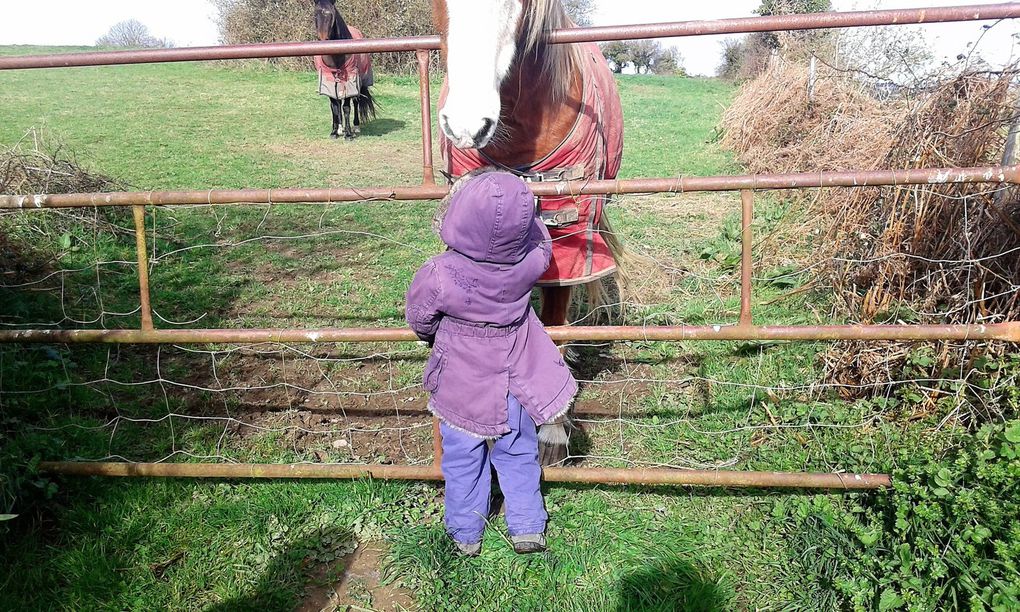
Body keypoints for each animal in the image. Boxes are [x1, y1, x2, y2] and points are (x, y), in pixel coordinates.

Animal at [312, 0, 377, 139]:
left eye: (331, 14)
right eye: (315, 14)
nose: (323, 40)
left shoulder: (350, 80)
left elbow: (346, 107)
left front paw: (348, 134)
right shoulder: (328, 81)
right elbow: (334, 107)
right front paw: (334, 131)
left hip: (358, 81)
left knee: (356, 101)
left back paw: (355, 127)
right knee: (338, 103)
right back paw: (340, 129)